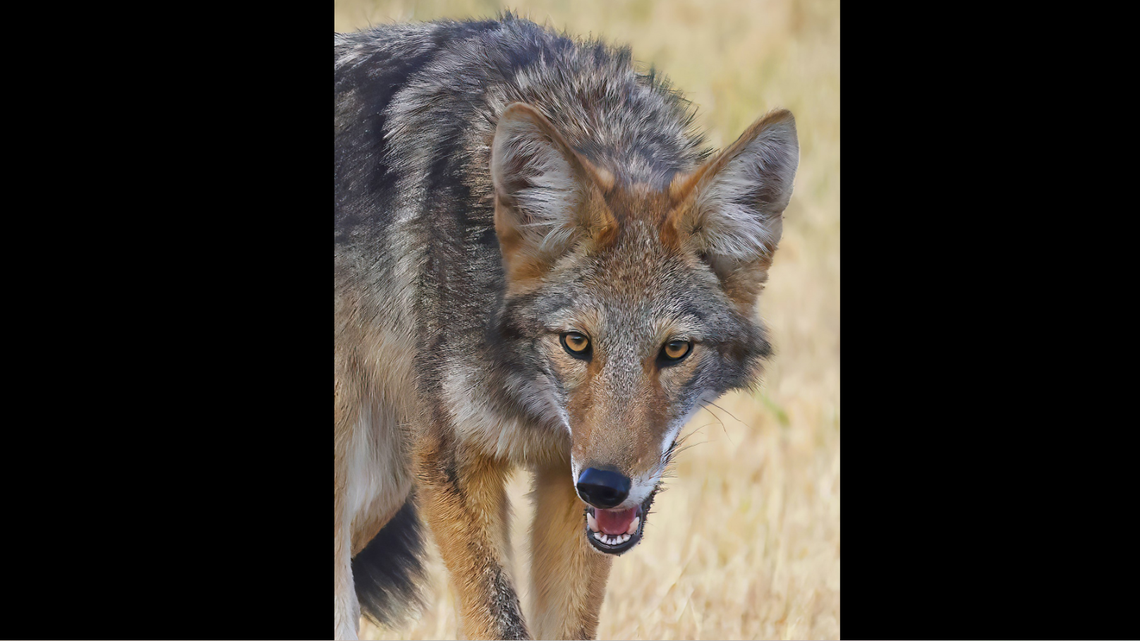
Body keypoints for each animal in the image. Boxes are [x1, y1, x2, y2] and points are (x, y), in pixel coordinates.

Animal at [334, 14, 798, 640]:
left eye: (675, 350)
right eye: (576, 343)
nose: (604, 484)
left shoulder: (566, 481)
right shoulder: (453, 463)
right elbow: (499, 619)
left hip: (381, 490)